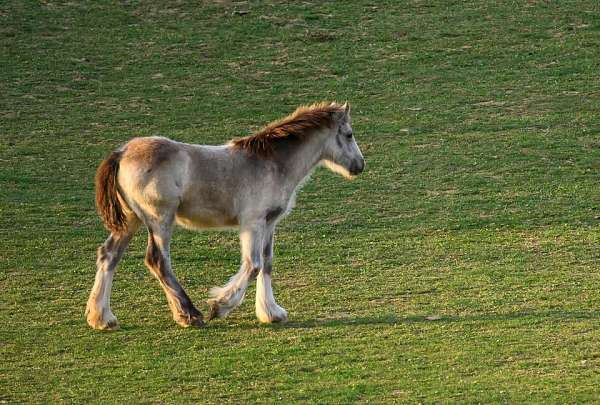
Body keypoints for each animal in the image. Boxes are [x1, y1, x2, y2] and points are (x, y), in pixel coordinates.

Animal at [86, 100, 364, 328]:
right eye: (349, 134)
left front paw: (271, 312)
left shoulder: (269, 223)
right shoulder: (252, 223)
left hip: (130, 221)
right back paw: (190, 315)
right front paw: (219, 306)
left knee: (109, 255)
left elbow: (267, 264)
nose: (360, 166)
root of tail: (122, 152)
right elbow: (253, 265)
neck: (271, 163)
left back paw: (102, 317)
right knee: (157, 260)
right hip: (160, 220)